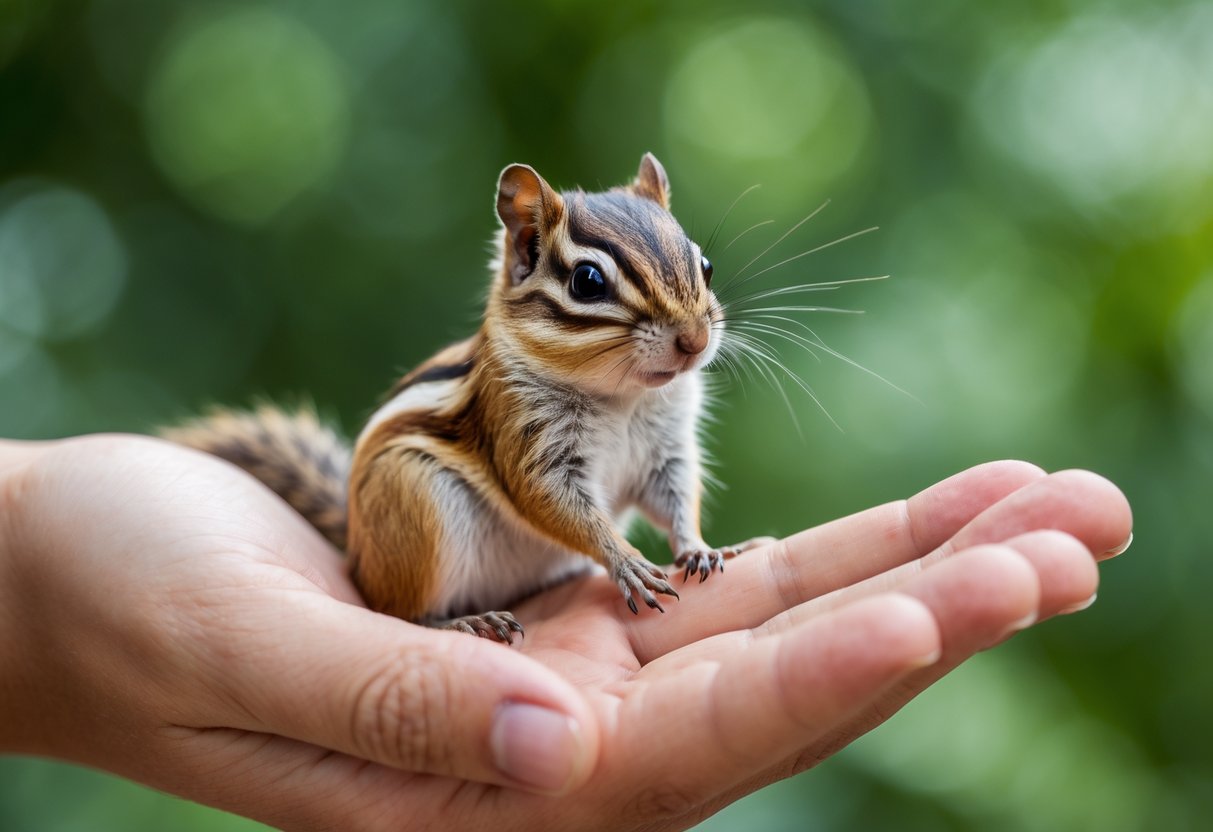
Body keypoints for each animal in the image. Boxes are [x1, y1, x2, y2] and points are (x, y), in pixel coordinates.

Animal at [164, 153, 771, 643]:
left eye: (705, 265)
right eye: (588, 281)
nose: (694, 340)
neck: (622, 398)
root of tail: (358, 548)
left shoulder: (667, 447)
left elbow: (676, 495)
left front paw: (703, 547)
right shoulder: (528, 440)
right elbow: (557, 506)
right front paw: (626, 563)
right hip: (415, 501)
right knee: (397, 610)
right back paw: (464, 621)